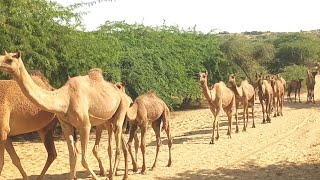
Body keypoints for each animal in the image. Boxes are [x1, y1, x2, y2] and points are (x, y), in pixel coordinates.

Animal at [0, 51, 131, 180]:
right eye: (2, 56)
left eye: (10, 59)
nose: (0, 64)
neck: (64, 98)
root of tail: (125, 95)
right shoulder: (65, 124)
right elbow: (72, 157)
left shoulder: (85, 125)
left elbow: (84, 160)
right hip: (107, 120)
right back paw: (112, 175)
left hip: (122, 108)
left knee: (118, 146)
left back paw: (114, 175)